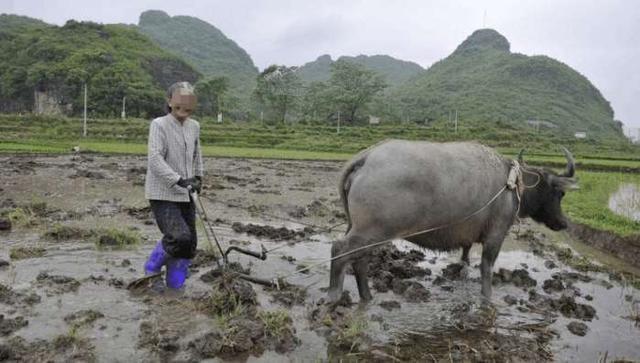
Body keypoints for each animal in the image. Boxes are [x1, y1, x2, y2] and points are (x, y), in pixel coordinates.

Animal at [330, 141, 576, 302]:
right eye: (560, 193)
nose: (564, 223)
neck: (513, 184)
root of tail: (366, 157)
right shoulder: (496, 235)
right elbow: (487, 268)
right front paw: (487, 298)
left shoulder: (468, 237)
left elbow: (465, 256)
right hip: (373, 231)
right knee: (340, 250)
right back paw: (334, 296)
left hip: (362, 230)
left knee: (359, 260)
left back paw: (367, 297)